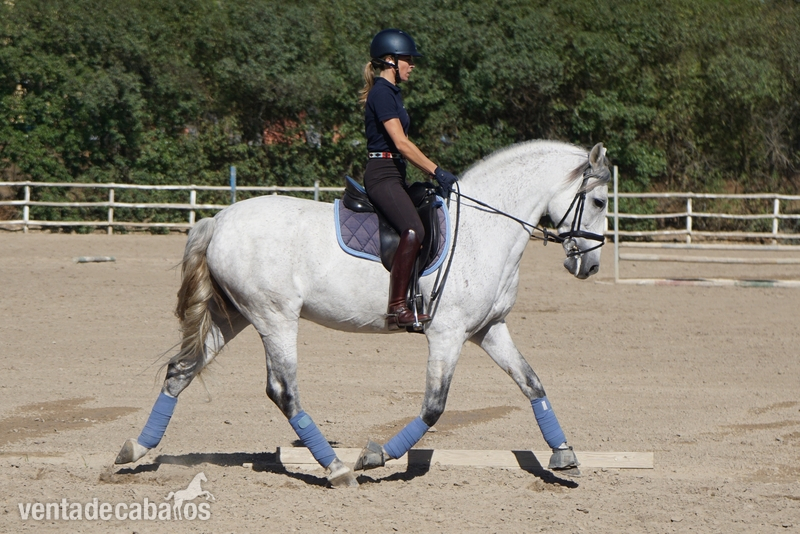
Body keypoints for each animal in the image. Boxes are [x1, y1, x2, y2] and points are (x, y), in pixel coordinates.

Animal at [115, 140, 612, 488]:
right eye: (601, 201)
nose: (589, 266)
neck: (483, 229)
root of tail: (217, 221)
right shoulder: (447, 334)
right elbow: (434, 408)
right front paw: (374, 455)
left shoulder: (489, 329)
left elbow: (532, 384)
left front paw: (564, 455)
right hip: (274, 318)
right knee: (283, 391)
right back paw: (336, 468)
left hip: (230, 316)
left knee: (180, 371)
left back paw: (134, 450)